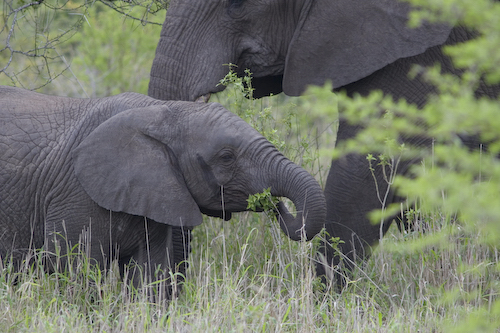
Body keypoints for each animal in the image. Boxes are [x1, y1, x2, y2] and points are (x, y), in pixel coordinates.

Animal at [0, 85, 326, 296]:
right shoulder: (75, 196)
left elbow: (148, 275)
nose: (275, 204)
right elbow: (77, 272)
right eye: (226, 157)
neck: (162, 111)